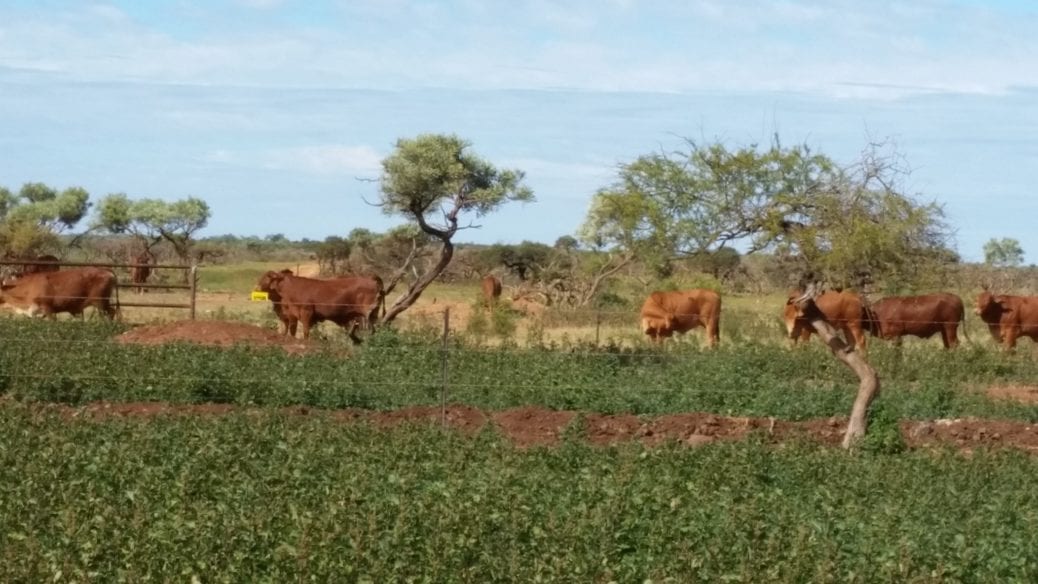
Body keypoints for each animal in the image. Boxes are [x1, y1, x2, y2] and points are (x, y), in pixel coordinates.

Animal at [255, 271, 386, 344]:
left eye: (266, 278)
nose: (257, 287)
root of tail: (370, 278)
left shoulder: (305, 313)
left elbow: (305, 332)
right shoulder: (291, 316)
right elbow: (291, 331)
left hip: (367, 313)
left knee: (370, 330)